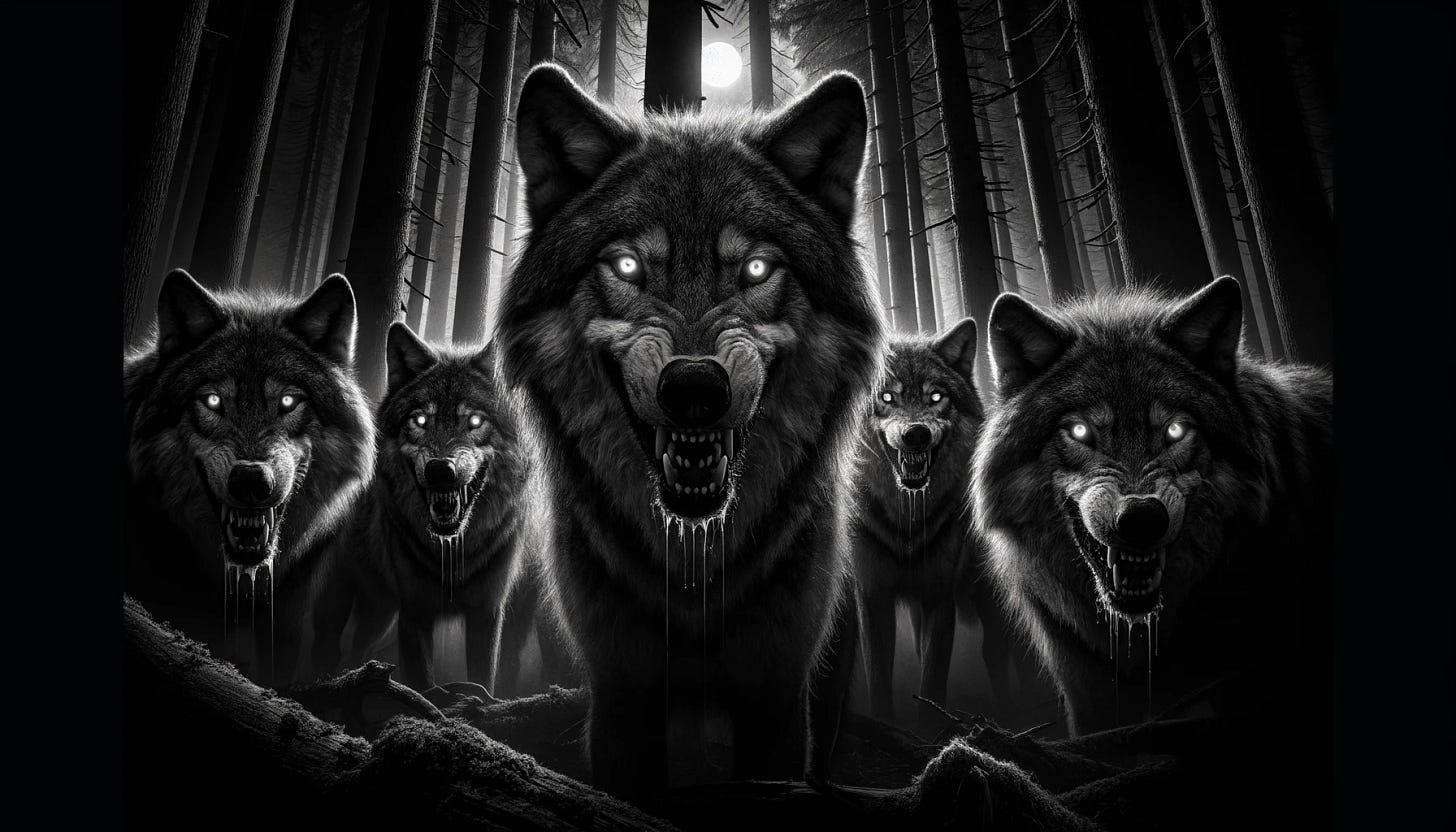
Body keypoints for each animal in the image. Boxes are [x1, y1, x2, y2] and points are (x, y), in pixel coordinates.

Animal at [311, 323, 528, 694]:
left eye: (474, 420)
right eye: (421, 420)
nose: (441, 470)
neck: (453, 554)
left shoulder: (487, 611)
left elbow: (483, 678)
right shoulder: (415, 611)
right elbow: (422, 680)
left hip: (380, 614)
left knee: (356, 649)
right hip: (348, 604)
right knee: (328, 647)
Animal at [494, 64, 881, 796]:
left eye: (756, 269)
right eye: (626, 267)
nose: (696, 388)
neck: (695, 570)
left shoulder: (775, 696)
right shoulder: (622, 694)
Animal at [853, 319, 1023, 734]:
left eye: (935, 397)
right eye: (886, 397)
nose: (916, 433)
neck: (907, 522)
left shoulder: (938, 597)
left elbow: (932, 680)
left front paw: (930, 732)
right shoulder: (872, 595)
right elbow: (878, 677)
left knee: (1000, 653)